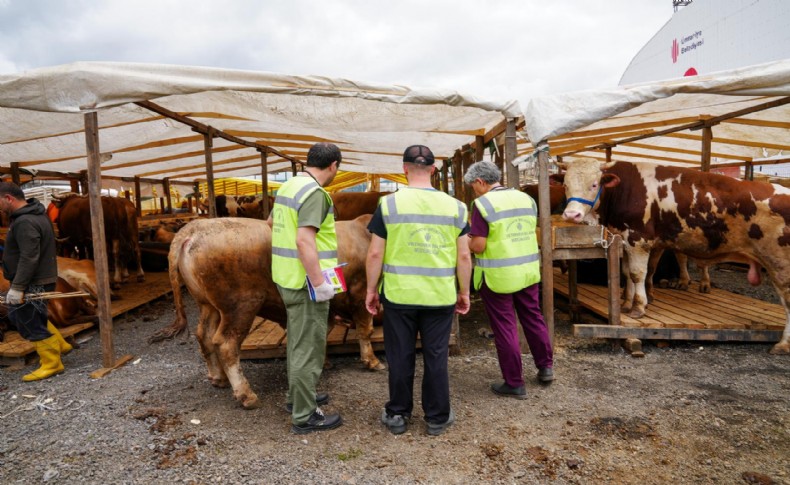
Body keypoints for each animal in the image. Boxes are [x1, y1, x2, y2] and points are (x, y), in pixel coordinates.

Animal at [154, 214, 384, 406]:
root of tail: (193, 229)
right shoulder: (361, 293)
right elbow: (365, 331)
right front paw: (372, 361)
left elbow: (321, 335)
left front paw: (323, 362)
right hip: (241, 307)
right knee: (225, 343)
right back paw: (246, 395)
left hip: (208, 305)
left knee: (204, 335)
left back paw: (218, 378)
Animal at [552, 158, 790, 352]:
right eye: (565, 185)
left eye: (594, 184)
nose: (571, 214)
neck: (624, 190)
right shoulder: (626, 240)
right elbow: (627, 273)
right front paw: (627, 303)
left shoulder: (639, 239)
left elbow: (638, 274)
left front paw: (638, 307)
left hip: (779, 263)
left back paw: (783, 344)